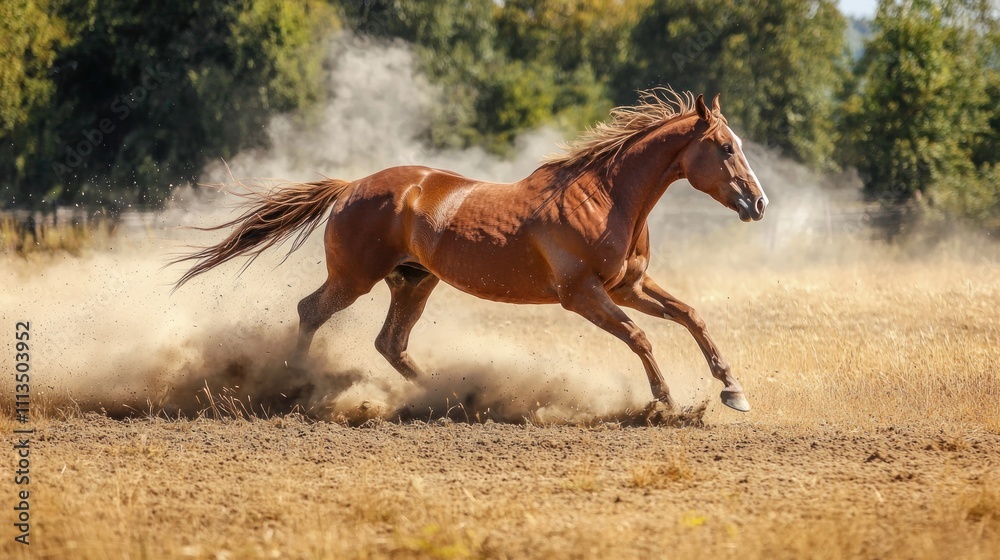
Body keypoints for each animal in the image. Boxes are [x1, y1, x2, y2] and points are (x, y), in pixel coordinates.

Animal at [173, 90, 768, 413]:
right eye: (724, 147)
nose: (758, 203)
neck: (606, 197)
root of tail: (349, 188)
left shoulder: (630, 286)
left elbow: (691, 316)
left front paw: (733, 390)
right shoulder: (582, 295)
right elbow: (640, 336)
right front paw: (666, 403)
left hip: (414, 281)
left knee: (390, 343)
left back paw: (444, 397)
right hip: (355, 278)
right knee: (311, 311)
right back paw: (293, 387)